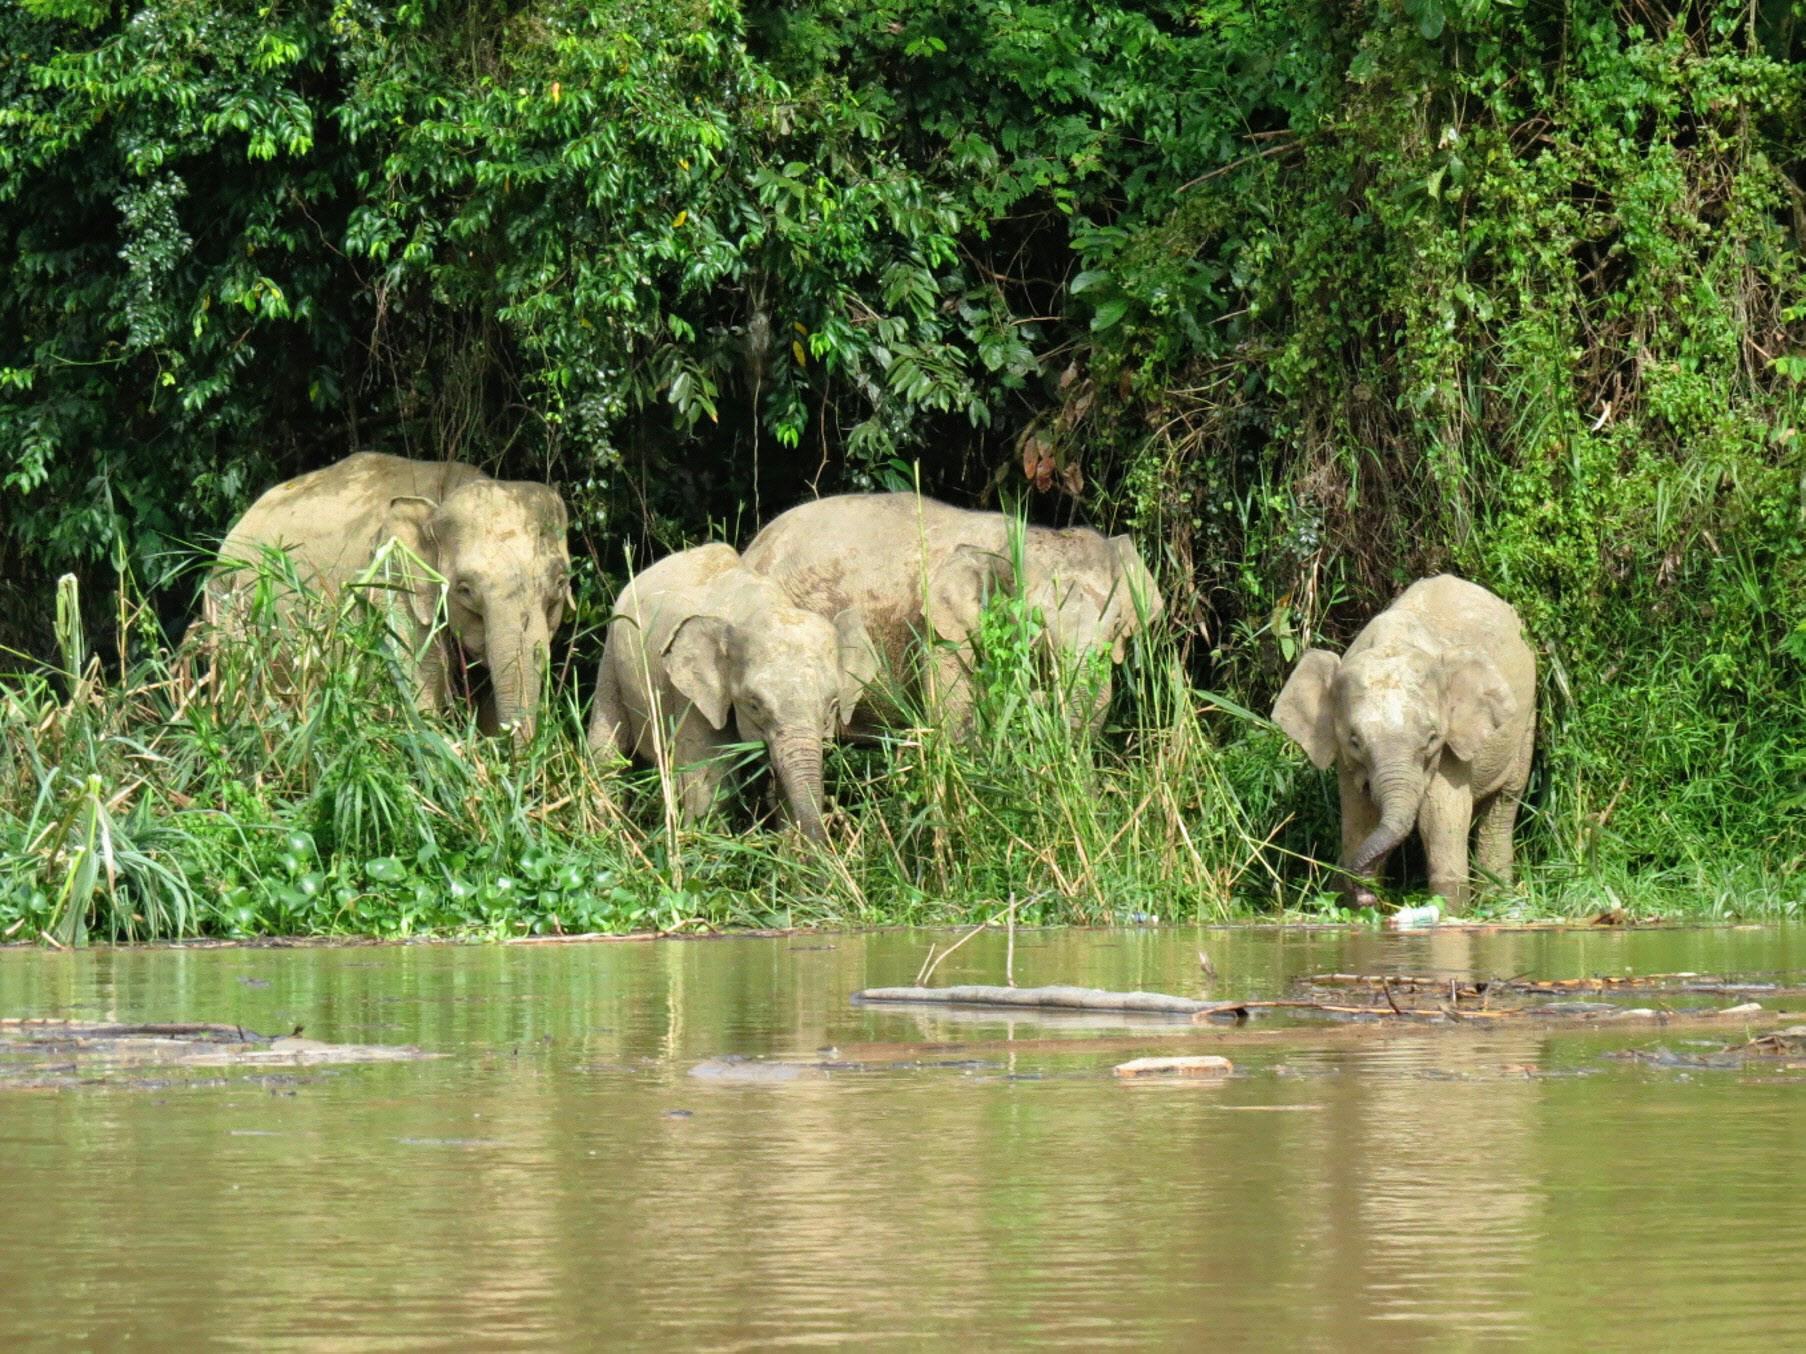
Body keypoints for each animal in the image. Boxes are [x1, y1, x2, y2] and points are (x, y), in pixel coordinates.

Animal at [205, 453, 574, 743]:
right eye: (464, 589)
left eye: (559, 583)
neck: (444, 494)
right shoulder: (390, 585)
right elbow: (414, 697)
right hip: (227, 611)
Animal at [588, 537, 877, 837]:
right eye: (754, 704)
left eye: (833, 705)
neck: (765, 608)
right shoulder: (692, 698)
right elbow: (709, 779)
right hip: (612, 655)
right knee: (606, 754)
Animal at [1271, 577, 1538, 917]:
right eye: (1355, 742)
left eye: (1432, 738)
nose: (1366, 894)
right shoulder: (1344, 759)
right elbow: (1359, 820)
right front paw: (1360, 908)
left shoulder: (1451, 749)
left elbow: (1441, 818)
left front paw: (1448, 912)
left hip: (1527, 718)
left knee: (1504, 804)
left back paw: (1499, 902)